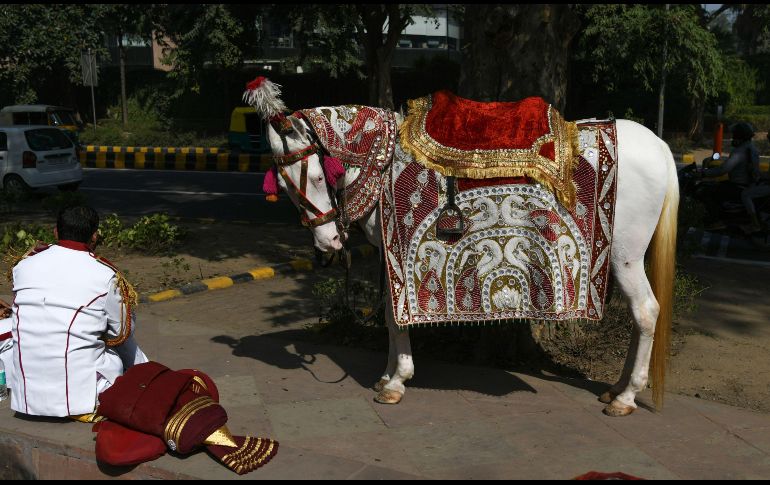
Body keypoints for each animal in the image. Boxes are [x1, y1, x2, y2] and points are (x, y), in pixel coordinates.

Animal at [246, 77, 679, 417]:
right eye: (282, 186)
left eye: (318, 177)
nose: (328, 242)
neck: (380, 159)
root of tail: (659, 146)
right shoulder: (389, 254)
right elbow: (389, 313)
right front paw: (387, 376)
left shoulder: (398, 251)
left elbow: (398, 316)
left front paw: (396, 381)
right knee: (641, 315)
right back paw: (617, 387)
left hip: (624, 255)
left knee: (645, 312)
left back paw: (625, 396)